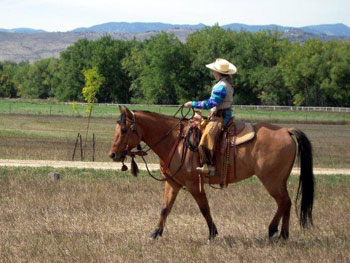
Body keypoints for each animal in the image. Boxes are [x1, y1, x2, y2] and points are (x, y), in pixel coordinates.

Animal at [108, 106, 314, 243]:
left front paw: (212, 234)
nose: (113, 154)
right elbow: (165, 208)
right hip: (279, 181)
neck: (175, 141)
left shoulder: (193, 185)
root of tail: (286, 131)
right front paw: (155, 233)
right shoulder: (173, 183)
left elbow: (204, 208)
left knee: (283, 202)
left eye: (124, 130)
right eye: (117, 129)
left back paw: (273, 231)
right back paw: (283, 234)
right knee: (286, 203)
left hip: (272, 181)